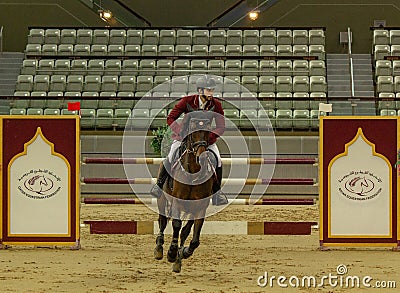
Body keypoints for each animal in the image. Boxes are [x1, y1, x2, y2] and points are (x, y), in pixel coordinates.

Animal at [154, 108, 217, 272]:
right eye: (192, 130)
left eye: (207, 131)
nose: (201, 157)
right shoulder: (177, 201)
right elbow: (176, 225)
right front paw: (172, 252)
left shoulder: (199, 207)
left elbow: (190, 235)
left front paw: (182, 254)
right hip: (162, 199)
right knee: (163, 221)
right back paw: (159, 248)